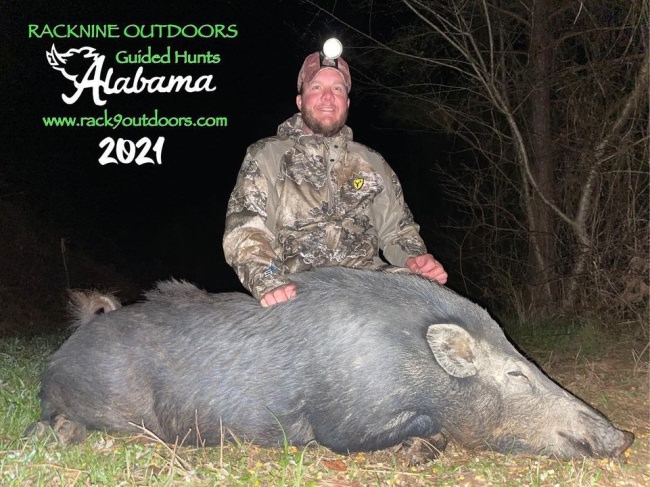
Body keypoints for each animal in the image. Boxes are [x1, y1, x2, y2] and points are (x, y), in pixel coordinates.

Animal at [31, 267, 634, 460]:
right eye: (516, 375)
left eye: (526, 363)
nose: (624, 437)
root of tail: (70, 341)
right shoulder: (340, 420)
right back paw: (62, 436)